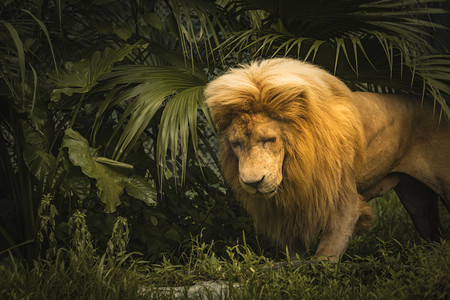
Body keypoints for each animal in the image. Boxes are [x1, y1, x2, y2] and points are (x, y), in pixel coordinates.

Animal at [205, 58, 450, 260]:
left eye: (269, 139)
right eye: (236, 144)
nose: (253, 182)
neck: (295, 167)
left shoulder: (344, 202)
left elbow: (325, 256)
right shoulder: (289, 212)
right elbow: (295, 257)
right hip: (417, 204)